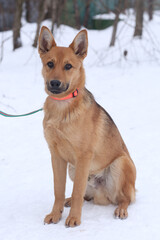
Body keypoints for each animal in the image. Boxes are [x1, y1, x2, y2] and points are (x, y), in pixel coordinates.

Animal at [37, 26, 136, 227]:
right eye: (50, 64)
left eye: (68, 66)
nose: (55, 83)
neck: (62, 108)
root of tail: (103, 196)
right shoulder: (56, 156)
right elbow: (58, 190)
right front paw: (56, 213)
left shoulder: (84, 156)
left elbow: (77, 191)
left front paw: (74, 218)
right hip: (73, 169)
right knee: (85, 195)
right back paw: (69, 202)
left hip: (120, 164)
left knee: (124, 198)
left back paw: (121, 209)